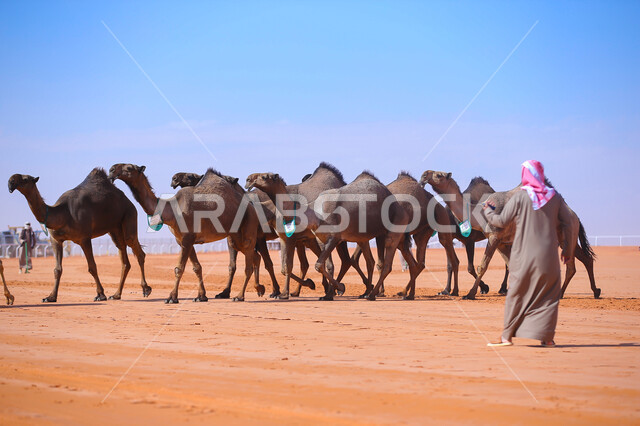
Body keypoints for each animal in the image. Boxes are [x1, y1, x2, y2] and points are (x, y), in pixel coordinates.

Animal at [8, 169, 151, 302]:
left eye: (26, 179)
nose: (10, 182)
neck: (62, 213)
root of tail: (129, 202)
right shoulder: (55, 240)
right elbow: (57, 269)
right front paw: (50, 297)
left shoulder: (84, 239)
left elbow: (92, 267)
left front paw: (100, 295)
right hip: (114, 229)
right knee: (124, 258)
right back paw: (116, 295)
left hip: (129, 214)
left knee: (137, 251)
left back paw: (146, 289)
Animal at [109, 164, 258, 303]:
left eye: (129, 168)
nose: (111, 170)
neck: (172, 210)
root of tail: (251, 206)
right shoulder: (183, 240)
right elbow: (197, 267)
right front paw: (201, 296)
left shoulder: (187, 238)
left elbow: (179, 268)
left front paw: (172, 297)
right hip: (235, 236)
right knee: (252, 257)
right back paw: (258, 290)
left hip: (248, 228)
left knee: (248, 265)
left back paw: (239, 296)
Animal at [246, 171, 423, 301]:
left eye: (265, 176)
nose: (248, 180)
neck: (314, 213)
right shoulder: (321, 239)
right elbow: (326, 265)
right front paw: (328, 294)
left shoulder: (335, 237)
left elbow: (318, 265)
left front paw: (339, 288)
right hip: (384, 237)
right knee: (399, 263)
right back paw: (404, 295)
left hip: (393, 230)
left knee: (386, 264)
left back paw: (372, 294)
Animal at [422, 171, 600, 299]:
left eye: (439, 175)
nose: (424, 175)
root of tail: (574, 214)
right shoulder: (500, 241)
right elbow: (511, 265)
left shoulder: (493, 237)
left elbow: (482, 266)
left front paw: (470, 294)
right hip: (565, 237)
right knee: (585, 259)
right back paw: (595, 291)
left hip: (567, 230)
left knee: (571, 266)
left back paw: (561, 293)